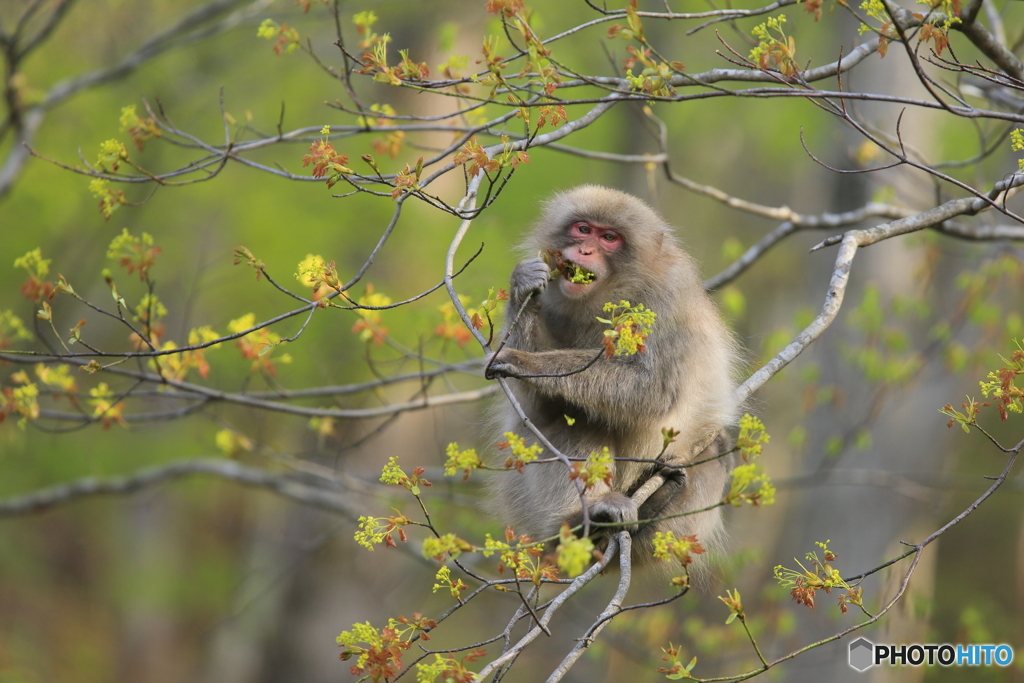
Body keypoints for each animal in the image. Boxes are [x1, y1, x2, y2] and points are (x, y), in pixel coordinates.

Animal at [485, 183, 737, 565]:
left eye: (609, 238)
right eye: (583, 229)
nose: (585, 249)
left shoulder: (668, 298)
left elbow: (652, 392)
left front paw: (525, 362)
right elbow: (535, 408)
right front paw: (524, 284)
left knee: (714, 445)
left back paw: (645, 509)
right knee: (571, 417)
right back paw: (581, 522)